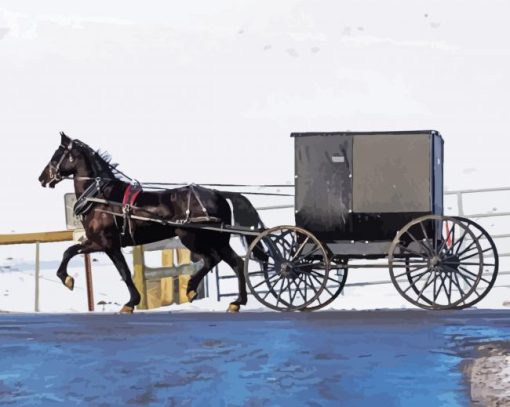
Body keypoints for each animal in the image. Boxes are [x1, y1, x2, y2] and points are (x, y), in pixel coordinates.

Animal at [38, 132, 262, 314]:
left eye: (56, 156)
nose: (42, 178)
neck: (101, 198)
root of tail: (218, 193)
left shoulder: (108, 244)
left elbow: (124, 272)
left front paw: (131, 303)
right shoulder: (96, 242)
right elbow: (69, 251)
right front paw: (66, 278)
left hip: (193, 237)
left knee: (214, 259)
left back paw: (197, 290)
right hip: (217, 239)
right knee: (234, 262)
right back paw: (235, 301)